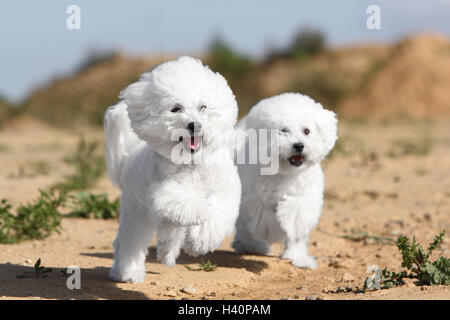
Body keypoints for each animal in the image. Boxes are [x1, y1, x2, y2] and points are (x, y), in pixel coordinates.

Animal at [104, 56, 243, 282]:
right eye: (176, 109)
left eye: (203, 107)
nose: (194, 125)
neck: (192, 163)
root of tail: (129, 155)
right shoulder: (164, 194)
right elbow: (190, 204)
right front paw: (199, 212)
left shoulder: (225, 193)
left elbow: (215, 217)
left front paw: (198, 242)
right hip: (136, 212)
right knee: (130, 241)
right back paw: (128, 272)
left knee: (168, 234)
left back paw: (166, 252)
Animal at [234, 93, 336, 270]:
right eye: (284, 130)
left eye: (307, 130)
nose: (299, 145)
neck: (286, 173)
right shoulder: (255, 200)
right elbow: (263, 220)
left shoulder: (304, 200)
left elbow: (297, 224)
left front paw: (297, 256)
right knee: (245, 228)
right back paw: (250, 246)